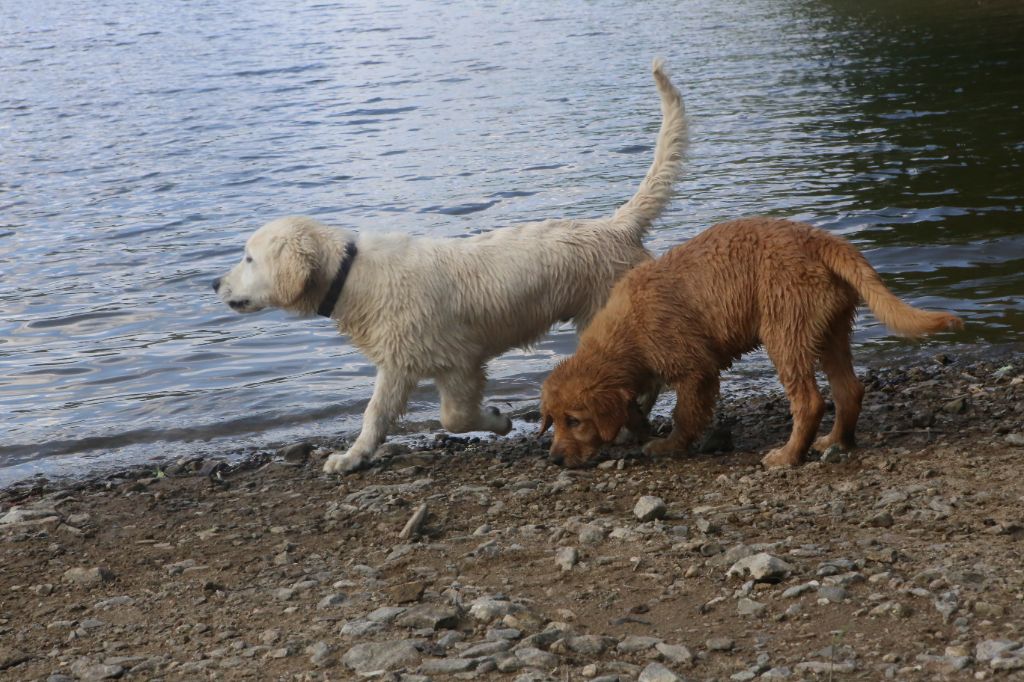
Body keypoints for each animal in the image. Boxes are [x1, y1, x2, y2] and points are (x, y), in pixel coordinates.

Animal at [211, 59, 684, 473]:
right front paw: (352, 457)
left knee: (643, 377)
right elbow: (374, 414)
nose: (213, 283)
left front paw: (498, 420)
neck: (351, 275)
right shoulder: (397, 363)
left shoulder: (459, 363)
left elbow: (453, 417)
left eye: (248, 257)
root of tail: (617, 225)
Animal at [540, 216, 962, 466]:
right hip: (831, 330)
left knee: (810, 401)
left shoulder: (695, 370)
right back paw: (835, 442)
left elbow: (685, 414)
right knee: (849, 390)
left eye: (574, 420)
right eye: (553, 420)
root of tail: (818, 239)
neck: (627, 332)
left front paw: (669, 446)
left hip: (785, 330)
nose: (555, 459)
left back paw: (788, 455)